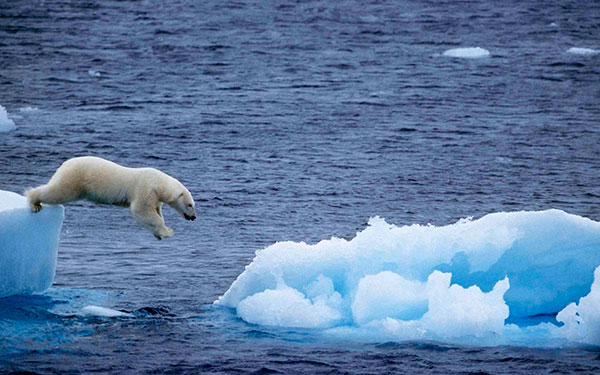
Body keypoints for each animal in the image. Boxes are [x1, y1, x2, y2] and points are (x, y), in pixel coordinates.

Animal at [27, 156, 196, 241]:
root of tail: (65, 163)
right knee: (57, 192)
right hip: (75, 179)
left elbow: (155, 212)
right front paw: (167, 231)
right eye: (190, 204)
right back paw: (34, 202)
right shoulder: (145, 189)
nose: (193, 217)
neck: (158, 183)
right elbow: (141, 211)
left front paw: (159, 233)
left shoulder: (155, 197)